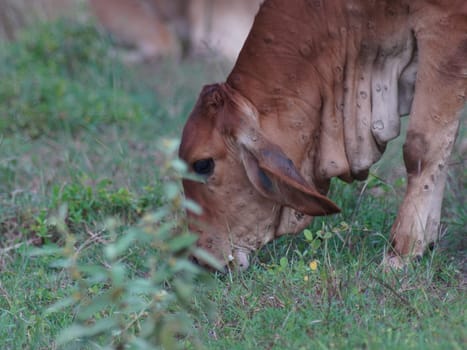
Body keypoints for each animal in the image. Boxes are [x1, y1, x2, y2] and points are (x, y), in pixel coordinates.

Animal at [179, 0, 467, 270]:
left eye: (202, 164)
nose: (197, 258)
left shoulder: (445, 25)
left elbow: (422, 148)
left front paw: (401, 252)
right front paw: (425, 242)